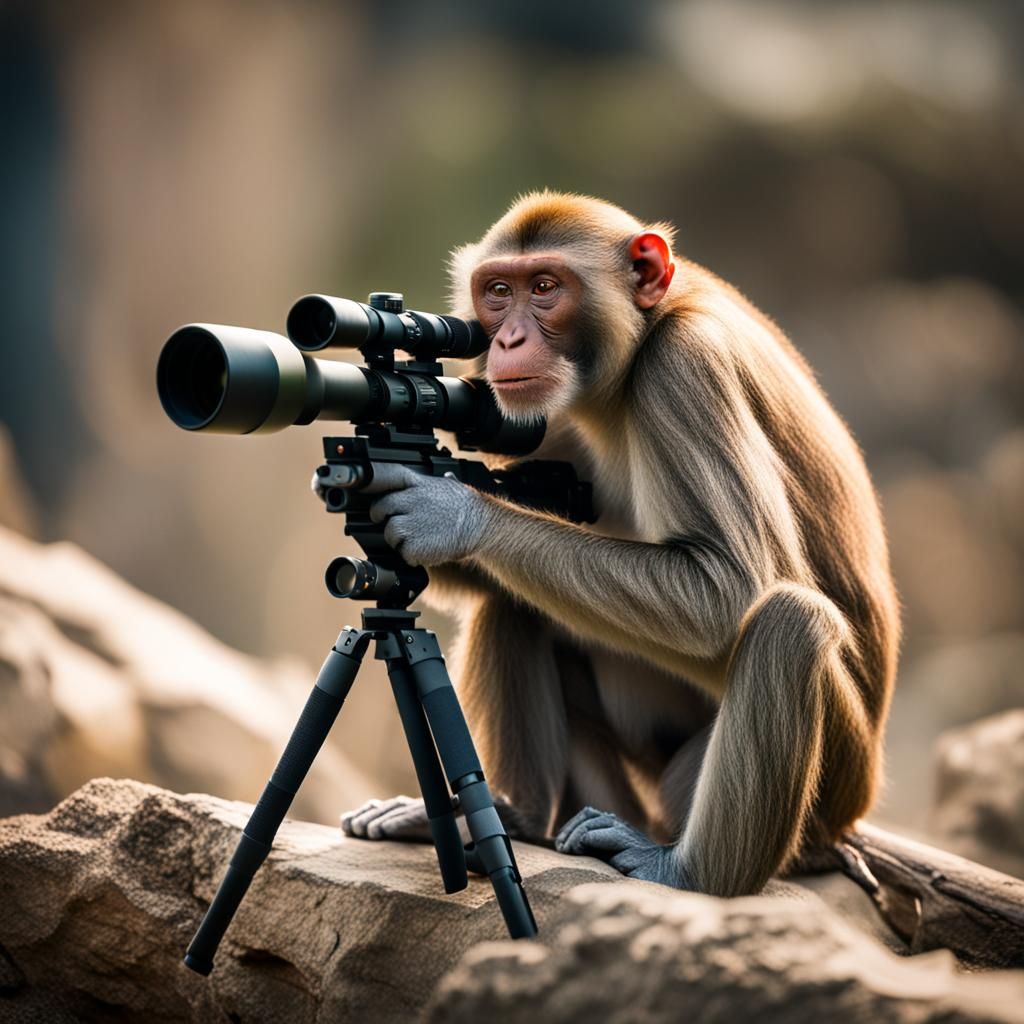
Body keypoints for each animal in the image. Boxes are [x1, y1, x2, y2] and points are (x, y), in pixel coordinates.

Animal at [340, 191, 900, 897]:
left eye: (544, 288)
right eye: (497, 292)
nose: (507, 340)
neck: (639, 344)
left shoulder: (685, 367)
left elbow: (726, 588)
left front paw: (451, 514)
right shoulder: (544, 418)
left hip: (823, 786)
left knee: (790, 620)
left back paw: (686, 872)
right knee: (520, 598)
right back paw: (517, 816)